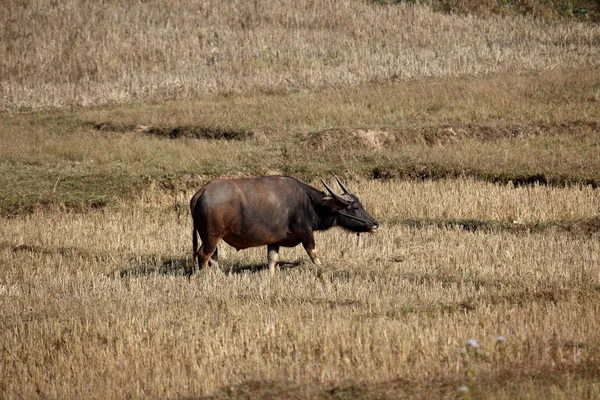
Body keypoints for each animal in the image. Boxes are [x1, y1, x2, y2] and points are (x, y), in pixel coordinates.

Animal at [191, 177, 380, 274]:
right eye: (354, 207)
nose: (374, 223)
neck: (308, 204)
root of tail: (201, 193)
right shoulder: (306, 233)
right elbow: (314, 254)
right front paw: (321, 268)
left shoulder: (274, 241)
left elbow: (272, 259)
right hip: (212, 236)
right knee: (204, 255)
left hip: (210, 237)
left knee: (212, 257)